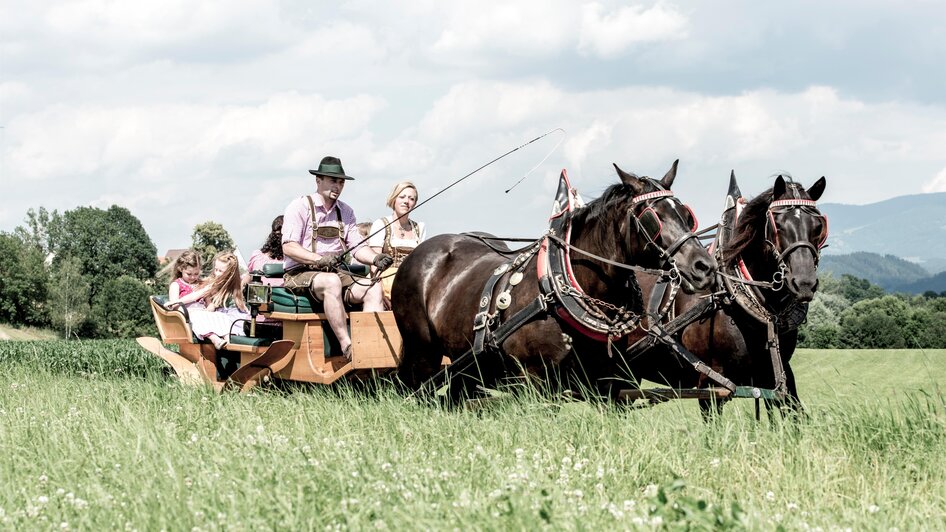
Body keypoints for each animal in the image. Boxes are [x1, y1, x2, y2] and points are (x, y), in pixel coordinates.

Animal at [390, 160, 716, 396]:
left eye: (686, 215)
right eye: (653, 217)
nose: (704, 266)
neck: (561, 291)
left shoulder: (611, 381)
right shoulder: (535, 381)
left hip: (468, 364)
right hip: (422, 354)